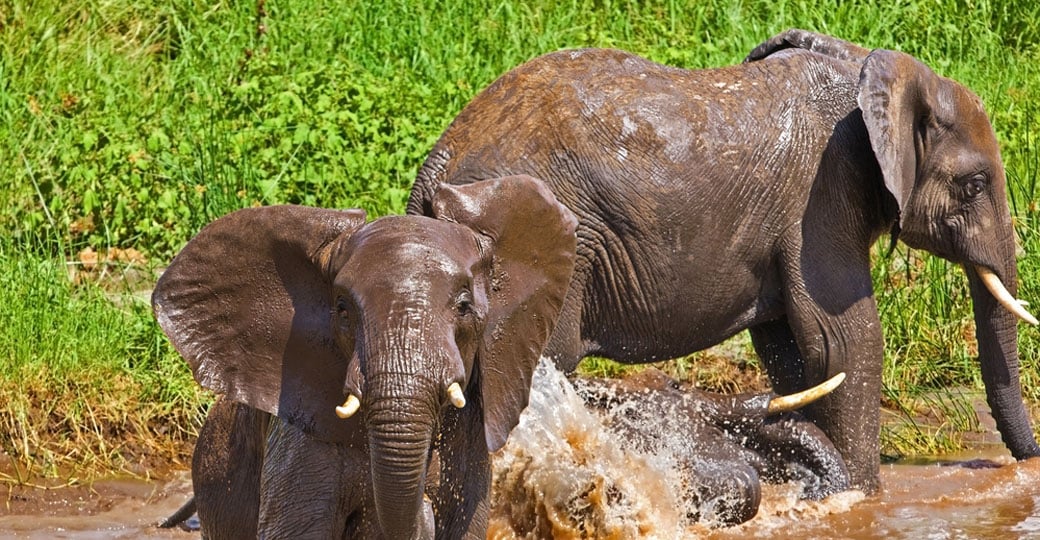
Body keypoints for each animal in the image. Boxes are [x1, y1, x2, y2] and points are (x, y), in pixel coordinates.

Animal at [407, 29, 1040, 494]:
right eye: (973, 185)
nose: (1023, 465)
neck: (868, 69)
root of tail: (436, 161)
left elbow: (792, 348)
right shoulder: (822, 197)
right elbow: (844, 342)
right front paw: (860, 499)